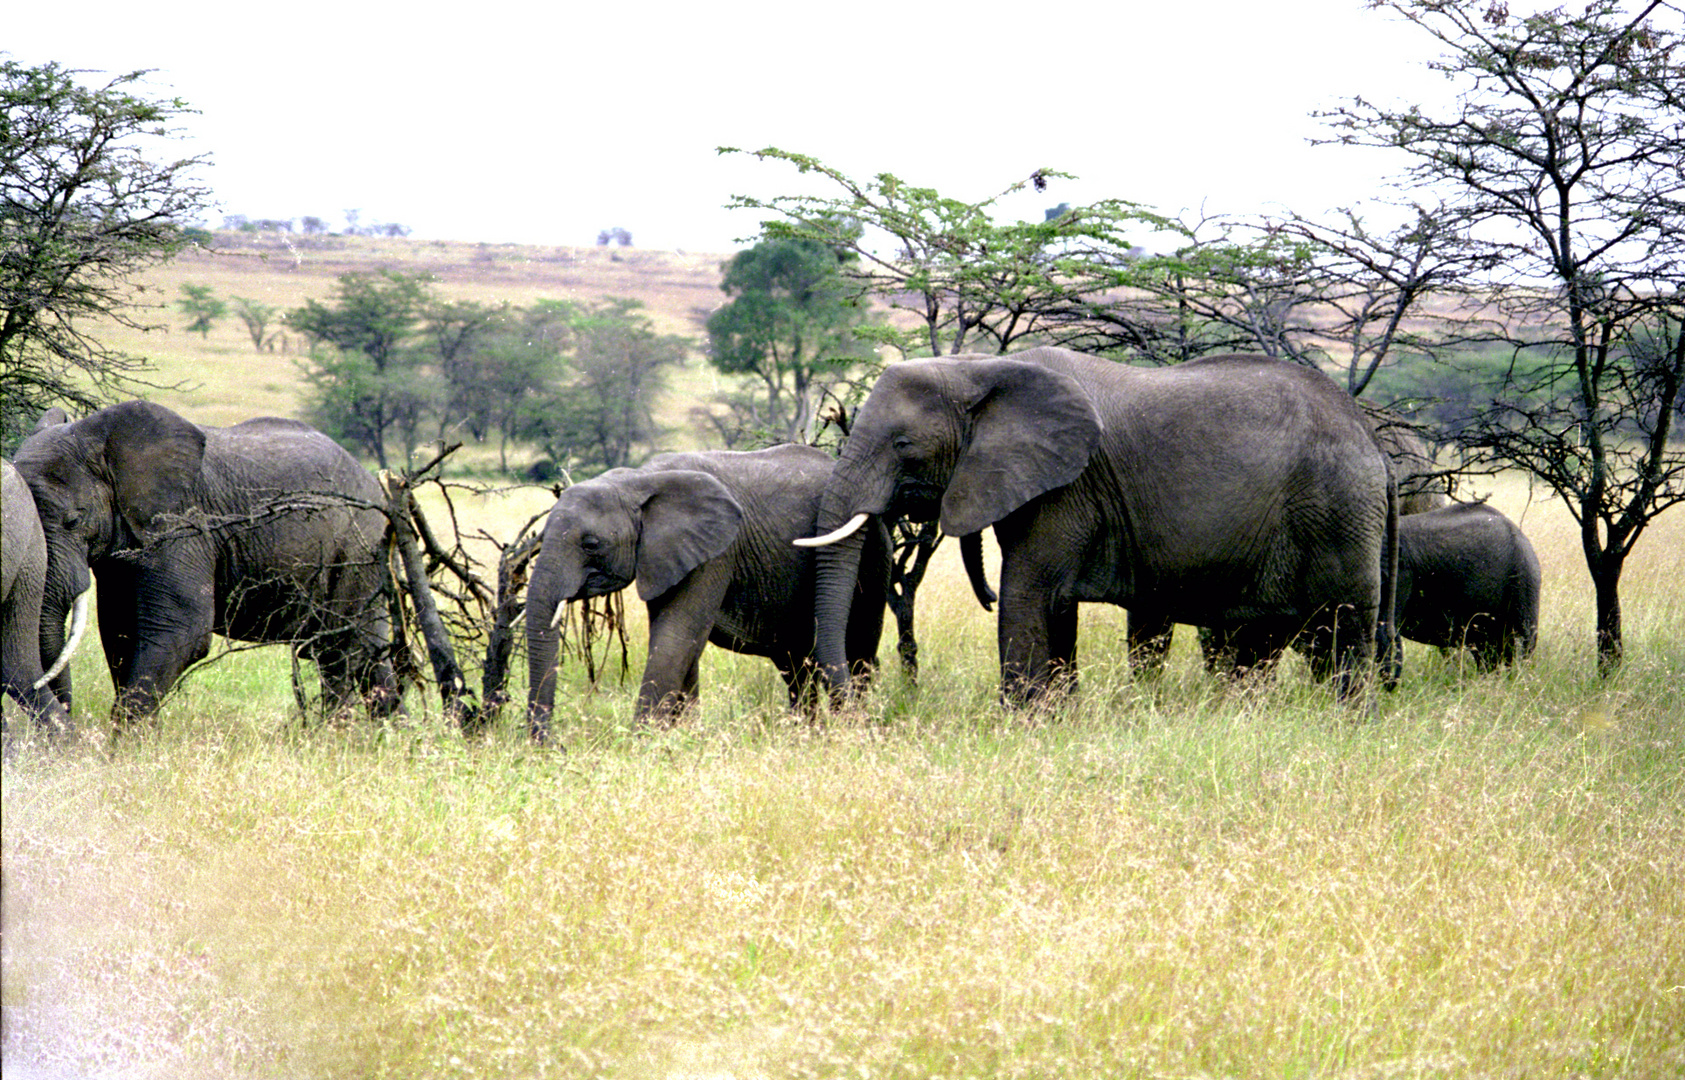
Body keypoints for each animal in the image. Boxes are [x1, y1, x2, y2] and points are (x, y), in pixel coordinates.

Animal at [14, 400, 397, 727]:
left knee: (341, 647)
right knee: (367, 650)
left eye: (74, 520)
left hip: (356, 547)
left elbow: (182, 631)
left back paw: (332, 737)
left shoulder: (183, 525)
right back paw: (388, 735)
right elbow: (119, 630)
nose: (69, 716)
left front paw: (123, 745)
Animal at [525, 444, 896, 741]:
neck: (639, 480)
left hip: (873, 549)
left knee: (858, 648)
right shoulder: (666, 555)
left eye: (591, 544)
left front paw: (642, 743)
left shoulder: (716, 553)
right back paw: (805, 733)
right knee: (795, 666)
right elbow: (679, 642)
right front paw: (683, 734)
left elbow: (677, 635)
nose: (548, 745)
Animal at [802, 347, 1395, 707]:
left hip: (1337, 512)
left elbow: (1028, 596)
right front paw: (1055, 718)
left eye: (902, 445)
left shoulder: (1068, 486)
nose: (850, 703)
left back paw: (1348, 722)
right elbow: (1054, 608)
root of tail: (1373, 441)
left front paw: (1017, 726)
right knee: (1273, 641)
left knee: (1342, 631)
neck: (982, 368)